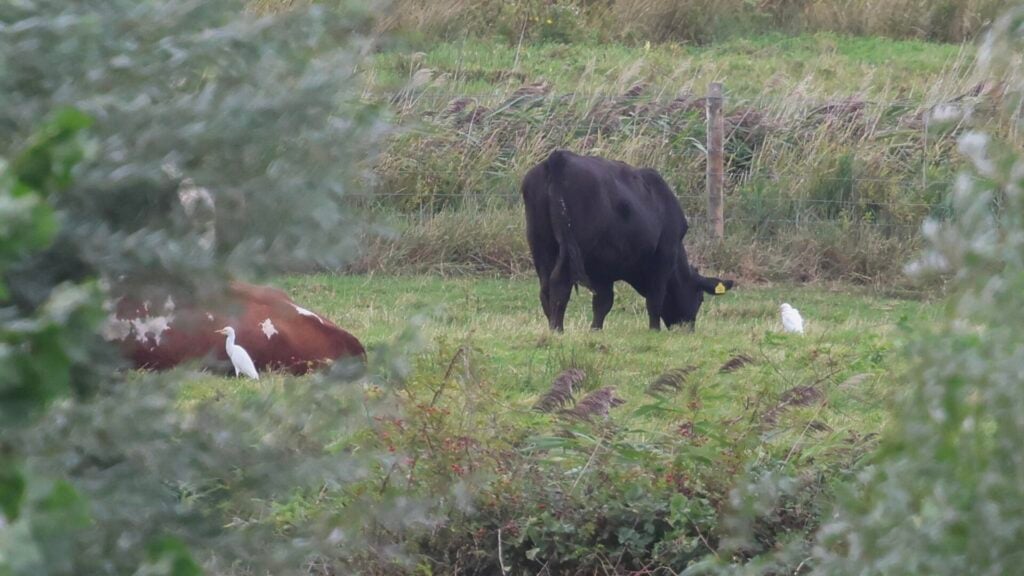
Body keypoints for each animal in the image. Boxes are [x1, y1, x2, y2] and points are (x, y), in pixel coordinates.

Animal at [521, 149, 734, 332]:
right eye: (700, 298)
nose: (688, 328)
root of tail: (559, 158)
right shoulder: (664, 257)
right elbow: (654, 298)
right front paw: (654, 329)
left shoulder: (602, 269)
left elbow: (603, 302)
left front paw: (595, 330)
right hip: (571, 246)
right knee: (559, 283)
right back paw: (557, 329)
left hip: (541, 245)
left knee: (545, 287)